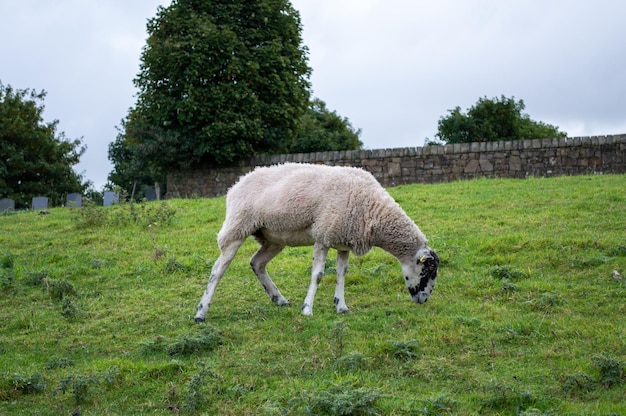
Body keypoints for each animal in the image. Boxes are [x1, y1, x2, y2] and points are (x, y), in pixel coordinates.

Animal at [193, 162, 436, 322]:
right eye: (427, 271)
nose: (424, 300)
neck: (374, 210)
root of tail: (235, 185)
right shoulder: (323, 235)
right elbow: (318, 275)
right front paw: (307, 309)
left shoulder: (342, 239)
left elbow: (341, 274)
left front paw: (341, 306)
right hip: (237, 226)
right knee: (217, 270)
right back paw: (201, 312)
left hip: (273, 237)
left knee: (257, 263)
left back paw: (278, 298)